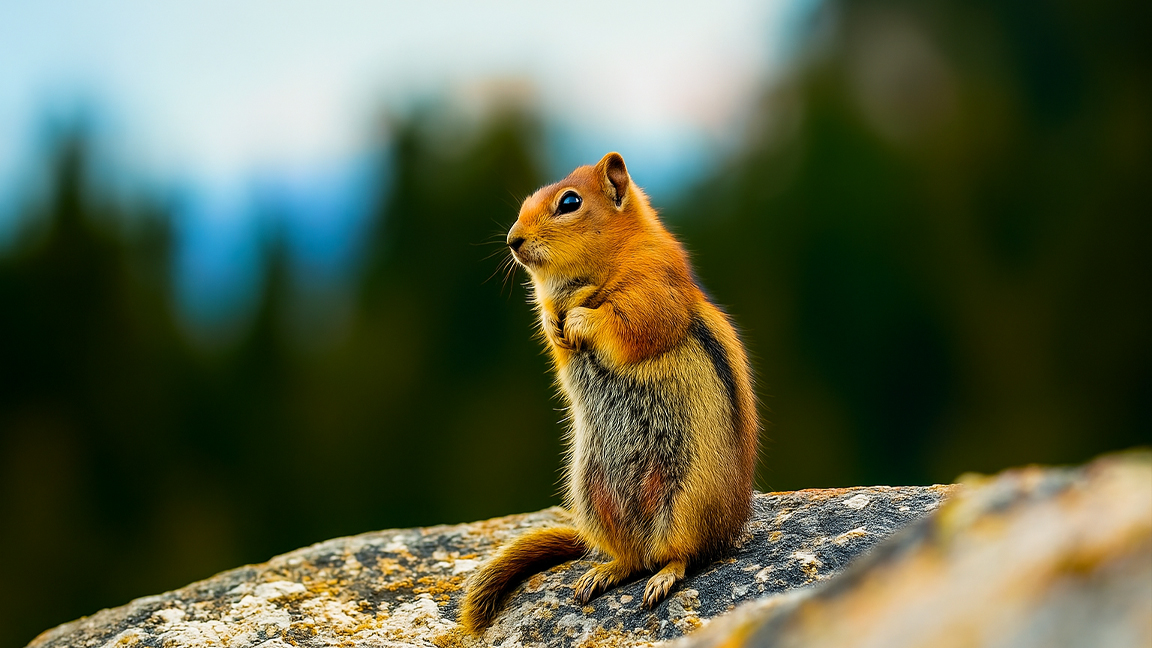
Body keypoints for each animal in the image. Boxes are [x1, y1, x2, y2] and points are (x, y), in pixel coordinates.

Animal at [459, 152, 759, 634]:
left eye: (569, 203)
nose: (512, 240)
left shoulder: (651, 286)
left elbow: (626, 321)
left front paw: (582, 318)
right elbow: (552, 328)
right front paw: (555, 324)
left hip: (687, 501)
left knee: (682, 555)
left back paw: (662, 578)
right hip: (591, 493)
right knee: (632, 558)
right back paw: (602, 574)